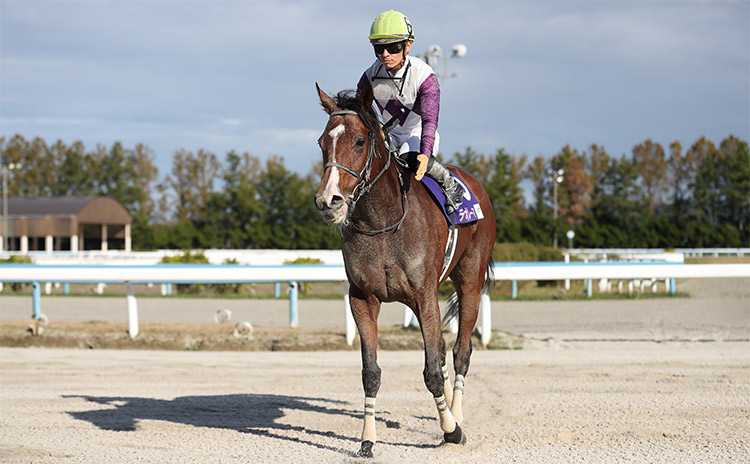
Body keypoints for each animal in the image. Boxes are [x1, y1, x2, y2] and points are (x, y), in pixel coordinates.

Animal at [314, 83, 496, 456]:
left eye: (359, 141)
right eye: (323, 142)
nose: (328, 201)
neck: (383, 223)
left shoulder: (424, 295)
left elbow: (432, 371)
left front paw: (451, 430)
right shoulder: (362, 298)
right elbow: (371, 372)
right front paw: (367, 440)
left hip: (469, 281)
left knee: (461, 352)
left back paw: (457, 416)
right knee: (442, 350)